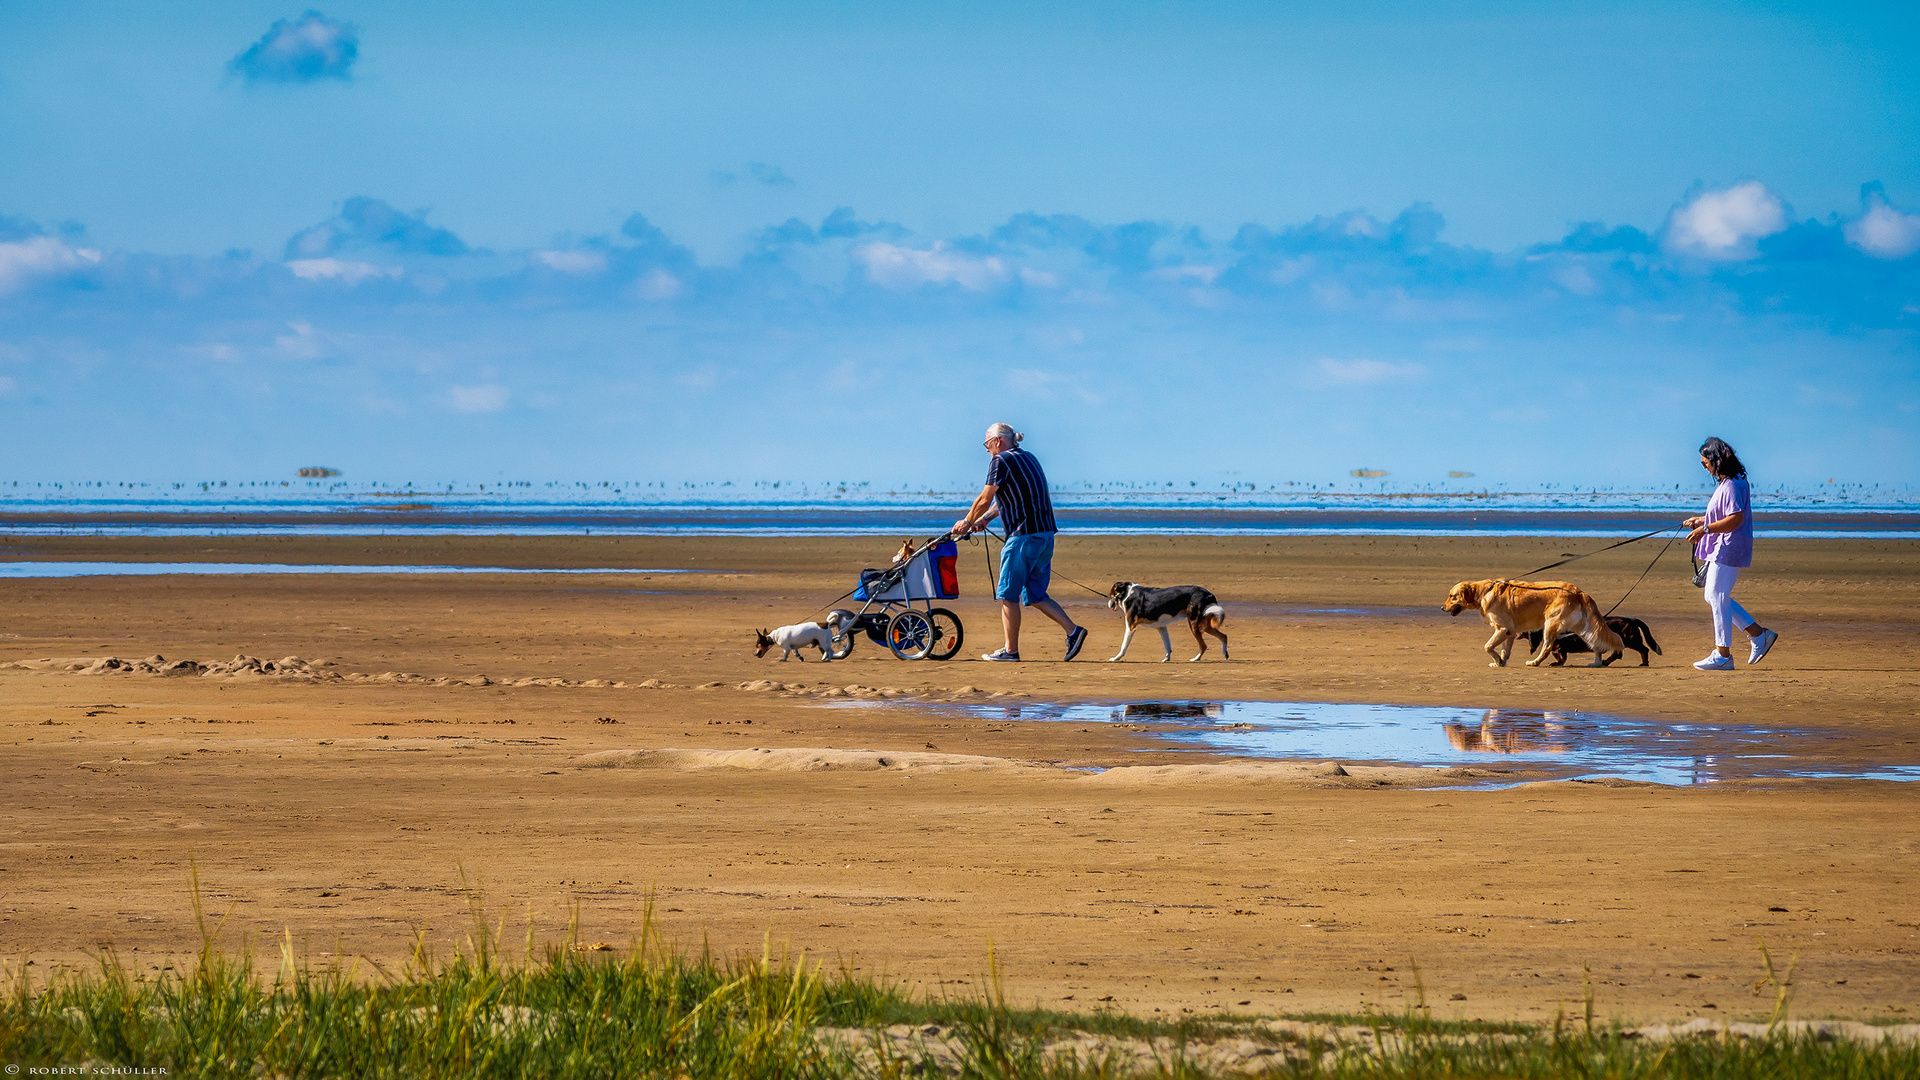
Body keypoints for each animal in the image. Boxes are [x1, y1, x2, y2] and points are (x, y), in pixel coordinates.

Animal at [1443, 580, 1620, 664]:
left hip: (1550, 623)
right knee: (1597, 644)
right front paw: (1500, 662)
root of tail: (1579, 592)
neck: (1484, 592)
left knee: (1547, 648)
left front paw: (1497, 660)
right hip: (1584, 627)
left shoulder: (1502, 629)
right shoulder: (1510, 632)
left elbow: (1487, 646)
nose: (1442, 608)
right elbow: (1504, 650)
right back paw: (1597, 663)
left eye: (1452, 596)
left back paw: (1534, 663)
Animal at [1520, 614, 1658, 664]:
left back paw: (1644, 663)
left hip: (1631, 641)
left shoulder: (1561, 647)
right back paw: (1605, 662)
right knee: (1618, 654)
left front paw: (1557, 663)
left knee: (1644, 650)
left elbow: (1561, 657)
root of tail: (1632, 619)